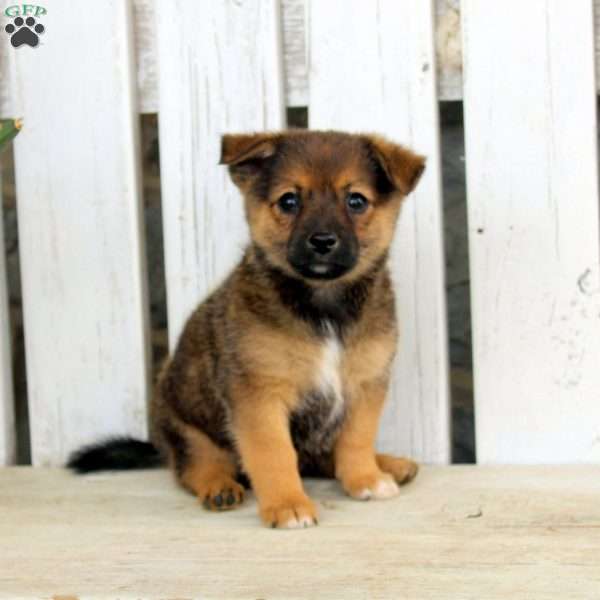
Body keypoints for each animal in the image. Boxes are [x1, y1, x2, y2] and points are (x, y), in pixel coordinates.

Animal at [69, 129, 426, 528]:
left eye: (356, 201)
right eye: (288, 200)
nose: (322, 241)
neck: (324, 307)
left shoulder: (365, 386)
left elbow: (356, 441)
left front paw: (364, 478)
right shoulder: (259, 394)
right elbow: (274, 454)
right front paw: (287, 504)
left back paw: (389, 464)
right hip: (188, 431)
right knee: (195, 466)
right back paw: (218, 486)